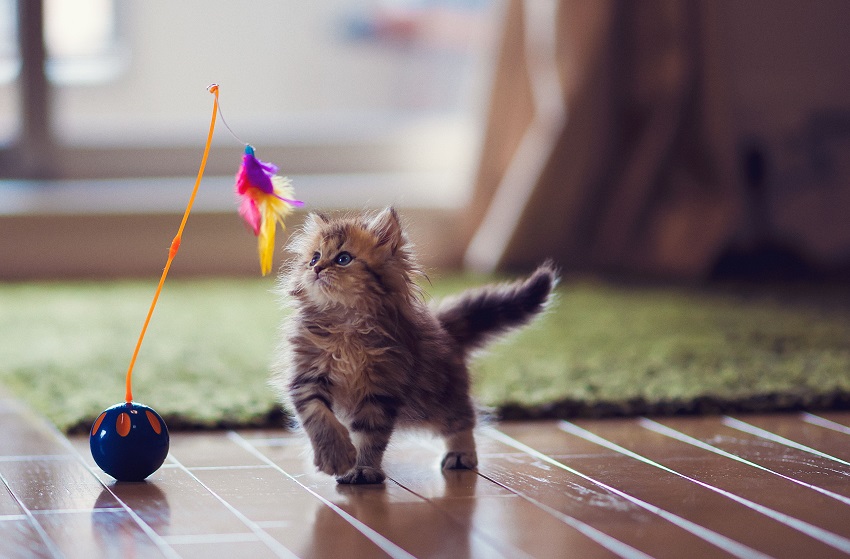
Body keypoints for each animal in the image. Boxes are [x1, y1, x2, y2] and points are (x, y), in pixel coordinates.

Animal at [272, 210, 560, 486]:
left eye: (343, 259)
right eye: (314, 258)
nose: (317, 269)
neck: (345, 325)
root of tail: (442, 326)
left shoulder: (381, 389)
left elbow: (369, 436)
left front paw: (363, 469)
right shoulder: (307, 376)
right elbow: (319, 417)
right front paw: (336, 456)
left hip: (437, 398)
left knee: (463, 420)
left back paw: (461, 454)